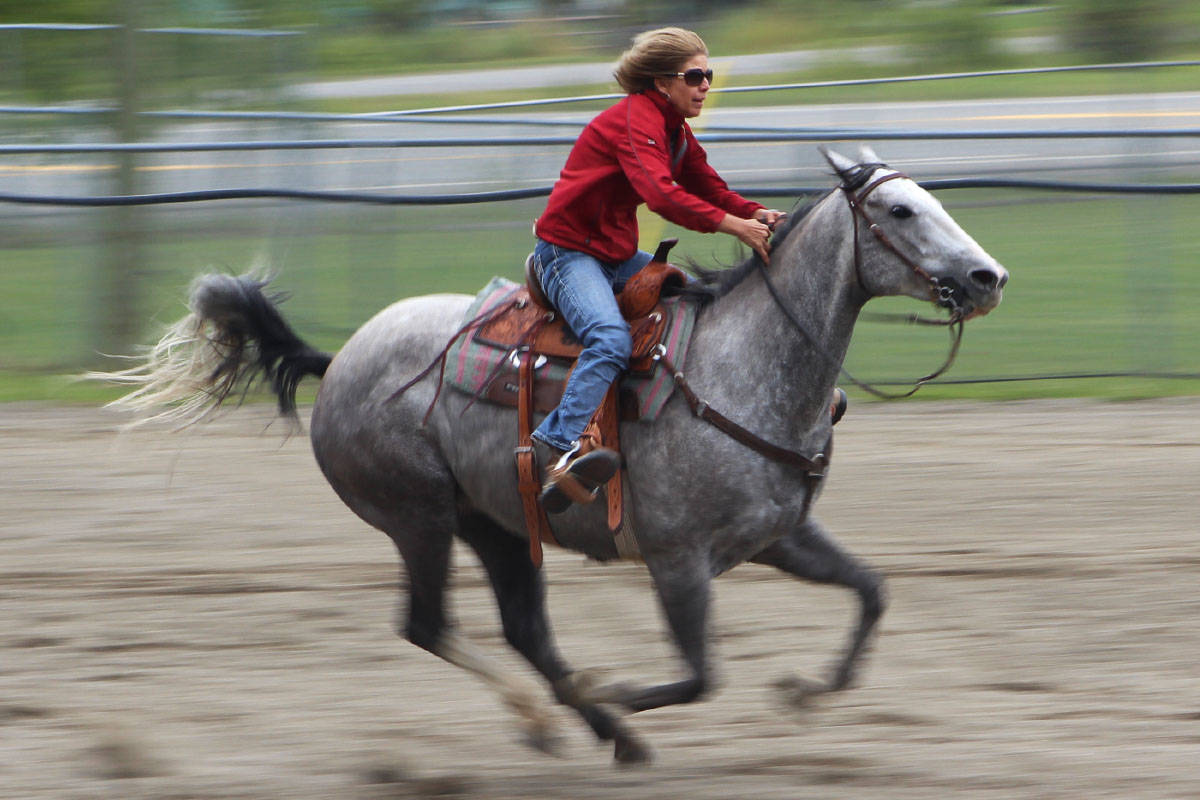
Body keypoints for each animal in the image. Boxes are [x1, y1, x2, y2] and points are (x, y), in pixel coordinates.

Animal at [98, 146, 1008, 767]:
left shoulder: (780, 537)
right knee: (429, 625)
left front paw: (805, 690)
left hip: (496, 523)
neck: (743, 367)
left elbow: (871, 592)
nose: (988, 275)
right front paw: (622, 692)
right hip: (419, 517)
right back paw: (562, 717)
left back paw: (598, 727)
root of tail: (344, 356)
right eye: (901, 213)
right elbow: (699, 675)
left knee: (524, 630)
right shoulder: (678, 560)